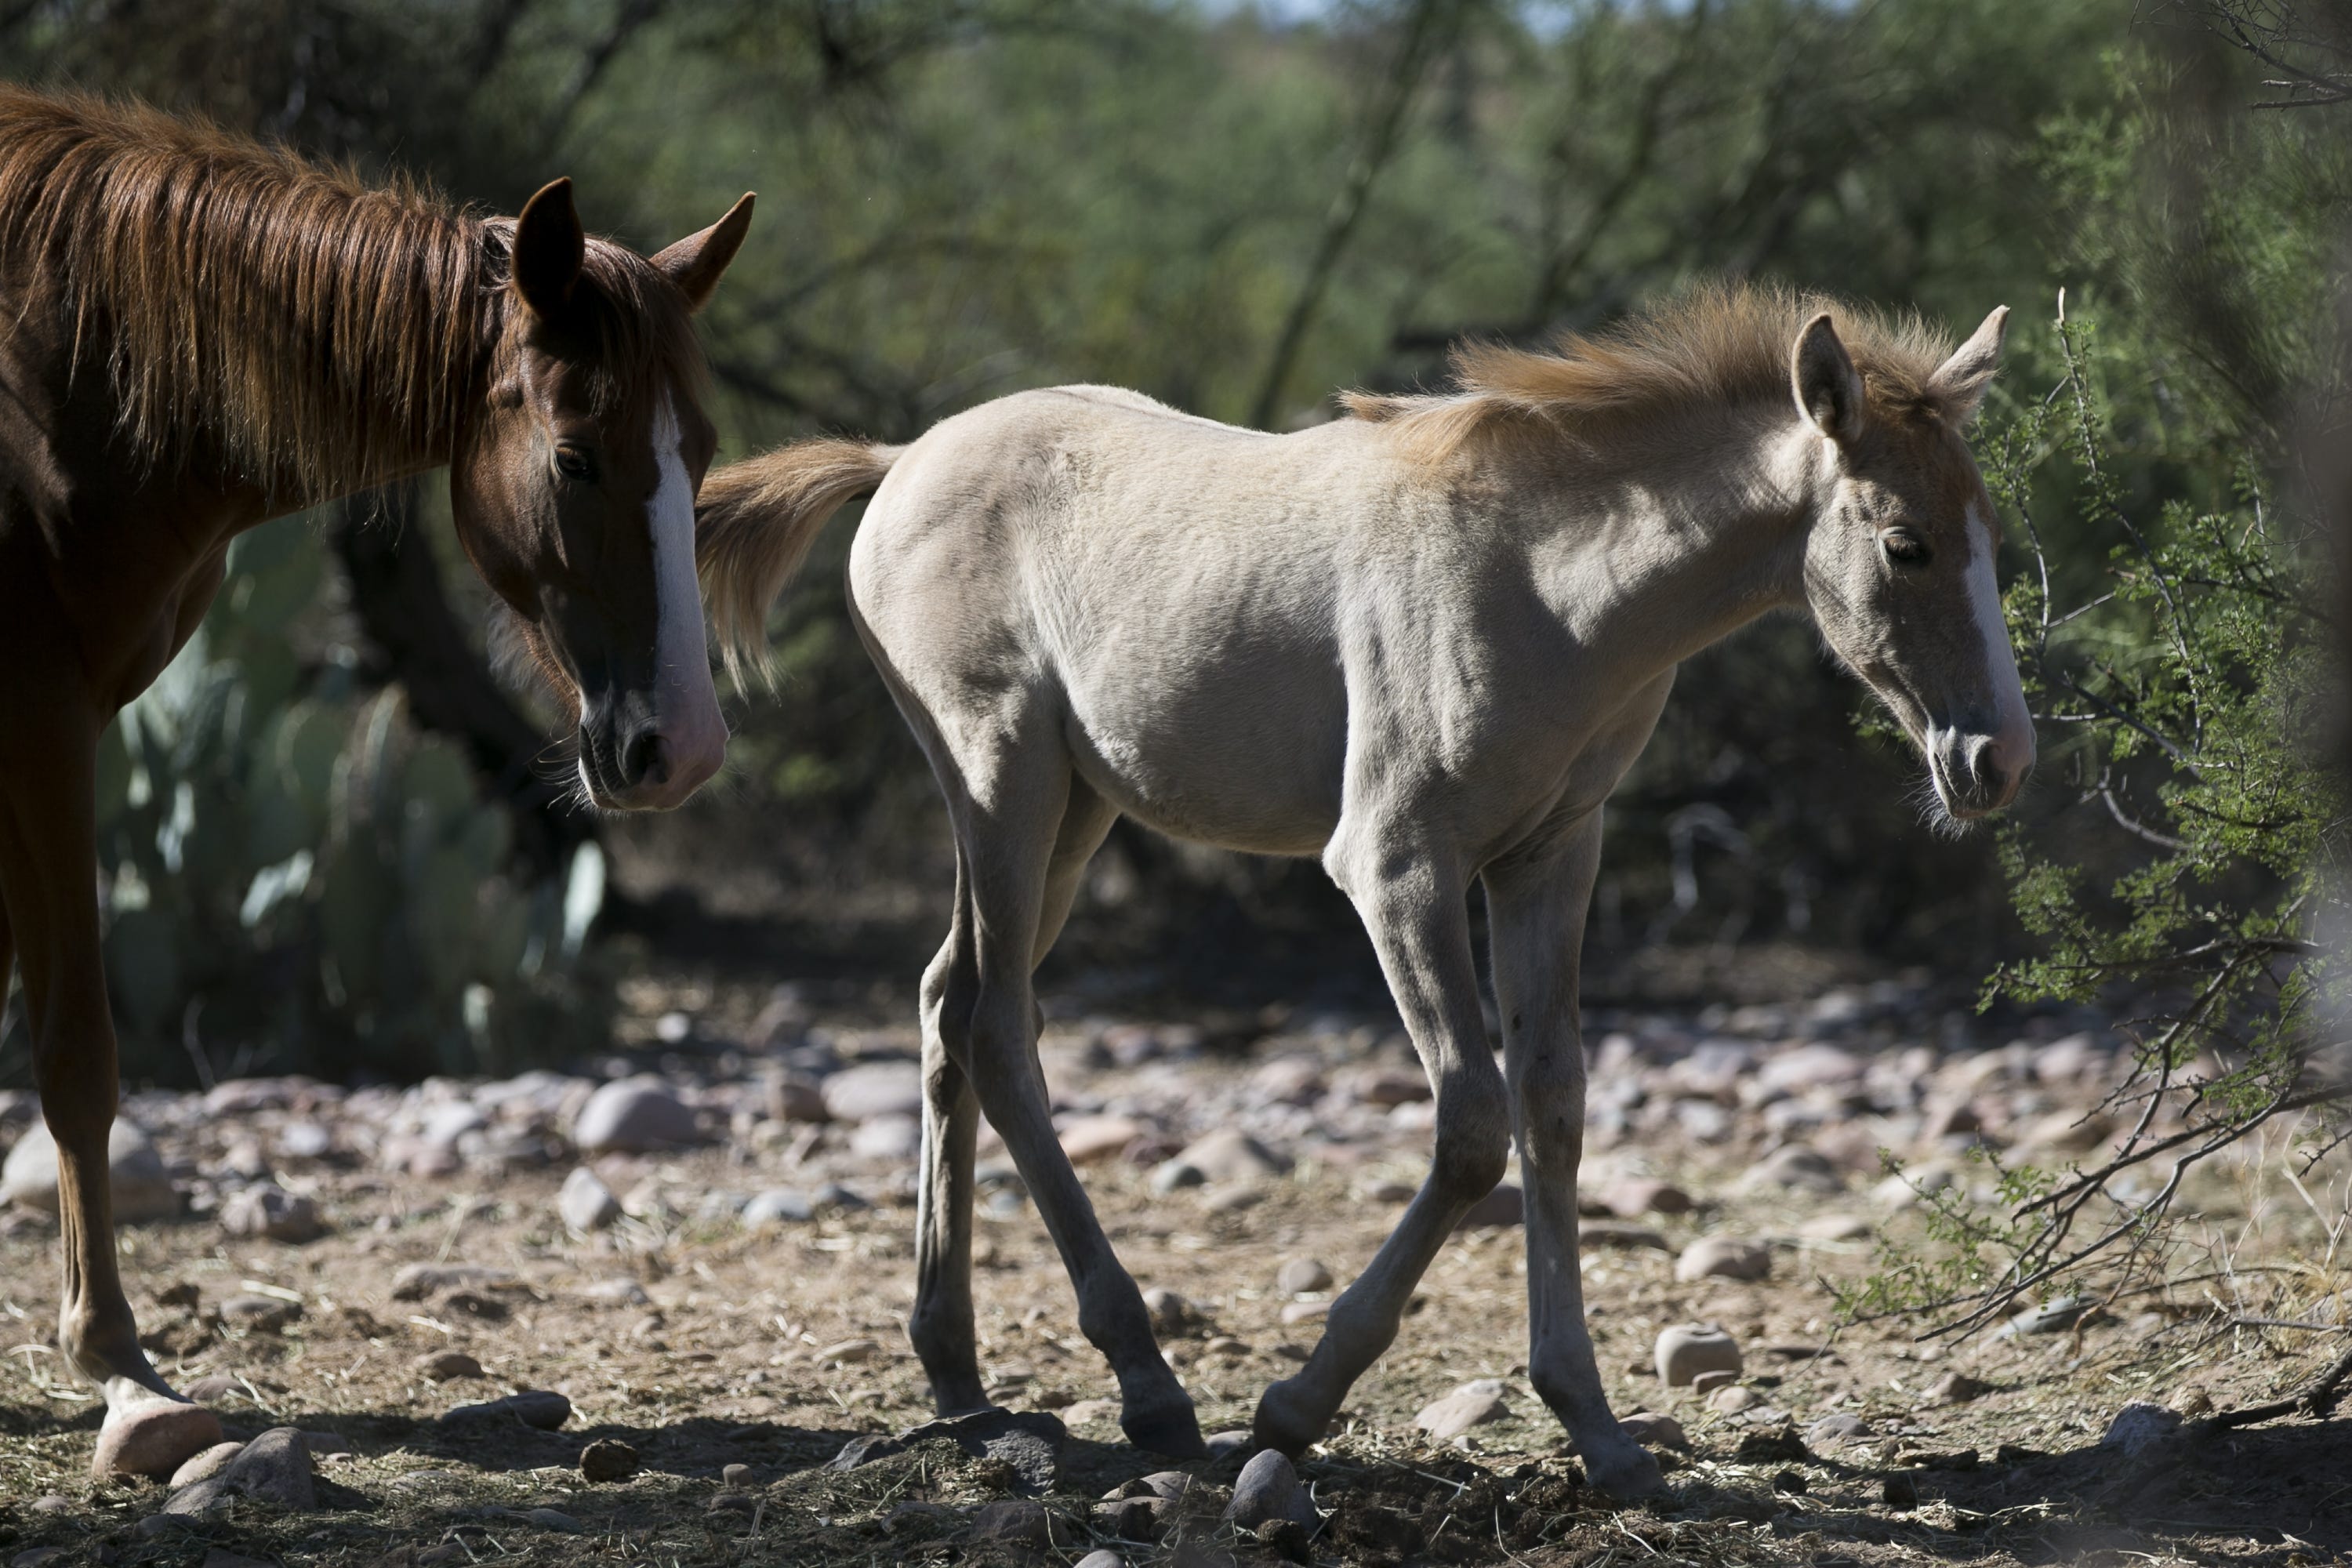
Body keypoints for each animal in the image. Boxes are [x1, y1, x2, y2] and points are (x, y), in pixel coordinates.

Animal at [0, 89, 748, 1486]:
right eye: (576, 459)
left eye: (706, 453)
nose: (683, 748)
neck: (59, 380)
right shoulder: (40, 722)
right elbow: (76, 1052)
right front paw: (121, 1370)